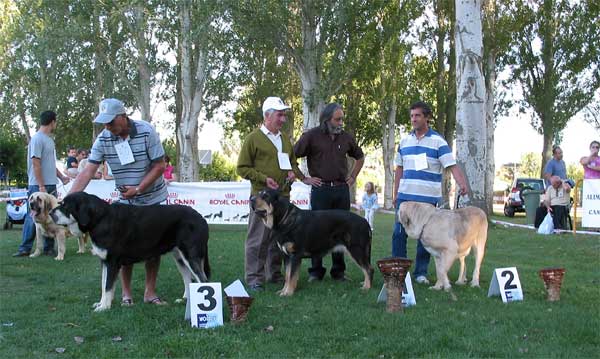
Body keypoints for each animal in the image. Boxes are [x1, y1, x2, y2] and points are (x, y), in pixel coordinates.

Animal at [51, 191, 211, 312]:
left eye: (64, 205)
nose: (51, 213)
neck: (100, 219)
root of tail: (201, 218)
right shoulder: (104, 261)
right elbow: (103, 285)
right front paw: (101, 303)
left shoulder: (112, 262)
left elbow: (107, 286)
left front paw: (104, 307)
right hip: (180, 258)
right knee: (189, 279)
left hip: (190, 255)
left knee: (202, 280)